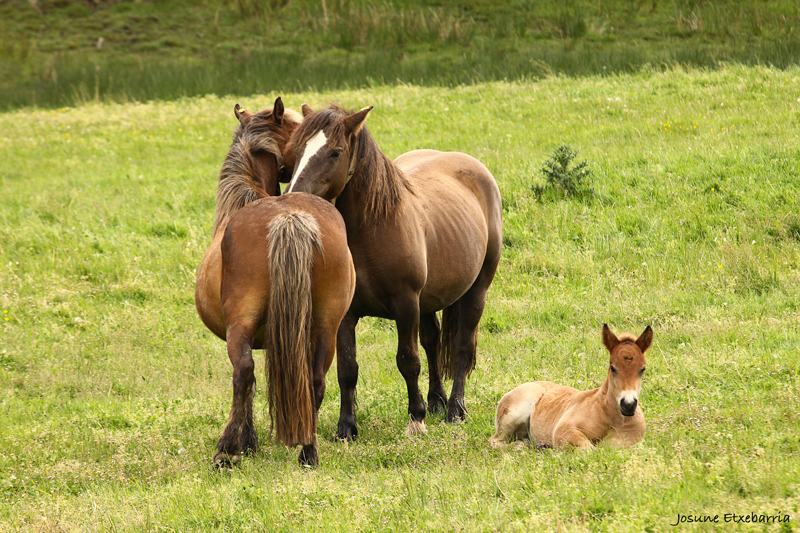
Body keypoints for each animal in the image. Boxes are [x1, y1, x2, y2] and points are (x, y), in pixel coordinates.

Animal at [194, 101, 354, 466]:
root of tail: (288, 217)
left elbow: (249, 382)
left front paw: (245, 442)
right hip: (327, 326)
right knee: (315, 381)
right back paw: (308, 452)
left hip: (239, 324)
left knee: (243, 374)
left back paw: (226, 451)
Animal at [284, 103, 504, 436]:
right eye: (297, 149)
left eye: (335, 152)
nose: (294, 197)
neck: (370, 232)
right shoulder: (346, 314)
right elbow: (347, 368)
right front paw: (346, 427)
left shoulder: (406, 305)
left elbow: (408, 361)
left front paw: (416, 418)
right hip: (430, 301)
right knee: (432, 342)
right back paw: (436, 401)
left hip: (476, 291)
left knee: (462, 347)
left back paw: (454, 409)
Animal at [490, 324, 652, 448]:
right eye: (612, 367)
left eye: (642, 369)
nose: (628, 404)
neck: (611, 416)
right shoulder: (564, 429)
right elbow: (589, 449)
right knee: (495, 441)